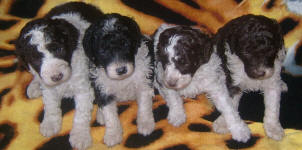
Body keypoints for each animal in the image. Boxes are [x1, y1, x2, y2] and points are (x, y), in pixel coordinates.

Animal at [15, 2, 102, 150]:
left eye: (60, 50)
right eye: (36, 60)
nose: (57, 77)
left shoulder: (83, 89)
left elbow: (81, 114)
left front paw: (80, 136)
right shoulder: (48, 87)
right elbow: (50, 105)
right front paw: (50, 124)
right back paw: (34, 86)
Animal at [83, 13, 156, 146]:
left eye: (126, 44)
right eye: (103, 51)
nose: (121, 70)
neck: (122, 79)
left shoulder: (144, 82)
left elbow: (144, 105)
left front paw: (146, 124)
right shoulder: (102, 88)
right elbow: (110, 114)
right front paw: (113, 135)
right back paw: (100, 115)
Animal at [214, 13, 286, 141]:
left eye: (271, 50)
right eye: (246, 52)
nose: (260, 73)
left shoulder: (272, 81)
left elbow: (273, 107)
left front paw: (274, 128)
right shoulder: (233, 80)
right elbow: (230, 104)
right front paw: (223, 123)